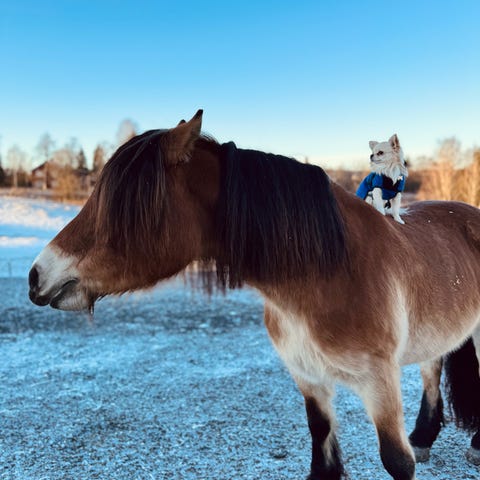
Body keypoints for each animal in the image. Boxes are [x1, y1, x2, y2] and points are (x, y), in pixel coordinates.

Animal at [28, 110, 480, 480]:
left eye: (124, 206)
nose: (37, 276)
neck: (330, 273)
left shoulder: (379, 383)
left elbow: (396, 461)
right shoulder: (309, 379)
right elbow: (323, 454)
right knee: (432, 368)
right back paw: (424, 437)